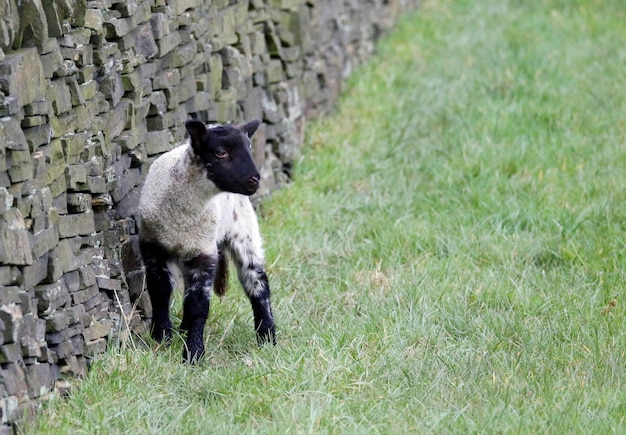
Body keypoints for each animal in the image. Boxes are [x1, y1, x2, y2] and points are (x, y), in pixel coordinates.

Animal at [139, 119, 276, 364]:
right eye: (220, 152)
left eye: (249, 148)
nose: (255, 179)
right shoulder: (152, 246)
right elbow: (159, 292)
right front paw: (161, 337)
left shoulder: (204, 253)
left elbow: (198, 306)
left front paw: (193, 354)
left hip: (244, 231)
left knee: (257, 283)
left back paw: (267, 337)